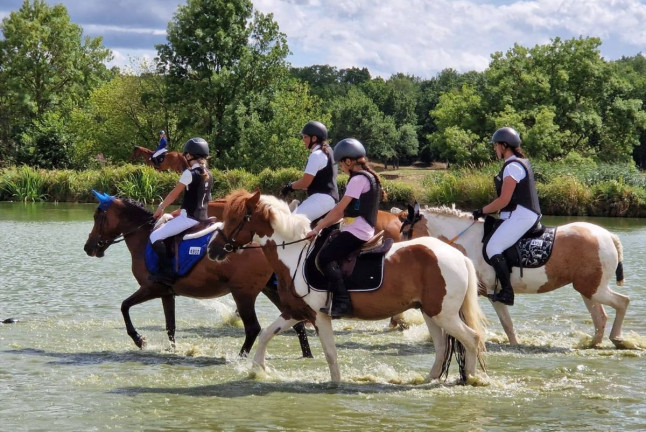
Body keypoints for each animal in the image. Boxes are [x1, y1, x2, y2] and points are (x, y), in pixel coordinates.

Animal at [83, 192, 312, 358]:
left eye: (97, 217)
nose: (88, 248)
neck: (144, 237)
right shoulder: (166, 293)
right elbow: (170, 325)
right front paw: (173, 350)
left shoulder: (152, 287)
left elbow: (124, 306)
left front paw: (139, 340)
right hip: (270, 289)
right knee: (298, 323)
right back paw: (307, 356)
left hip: (243, 293)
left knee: (253, 328)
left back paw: (241, 359)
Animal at [208, 190, 487, 383]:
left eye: (236, 218)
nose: (212, 249)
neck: (295, 254)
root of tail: (457, 255)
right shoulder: (297, 312)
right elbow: (267, 333)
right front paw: (257, 370)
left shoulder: (320, 316)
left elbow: (330, 354)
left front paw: (336, 384)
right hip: (431, 313)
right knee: (441, 347)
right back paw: (429, 379)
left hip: (444, 314)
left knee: (472, 339)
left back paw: (471, 379)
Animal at [418, 205, 631, 348]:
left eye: (409, 228)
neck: (468, 241)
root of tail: (608, 236)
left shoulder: (494, 294)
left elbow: (506, 324)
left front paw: (514, 344)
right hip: (588, 290)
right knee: (600, 317)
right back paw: (593, 344)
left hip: (594, 289)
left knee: (623, 301)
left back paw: (617, 339)